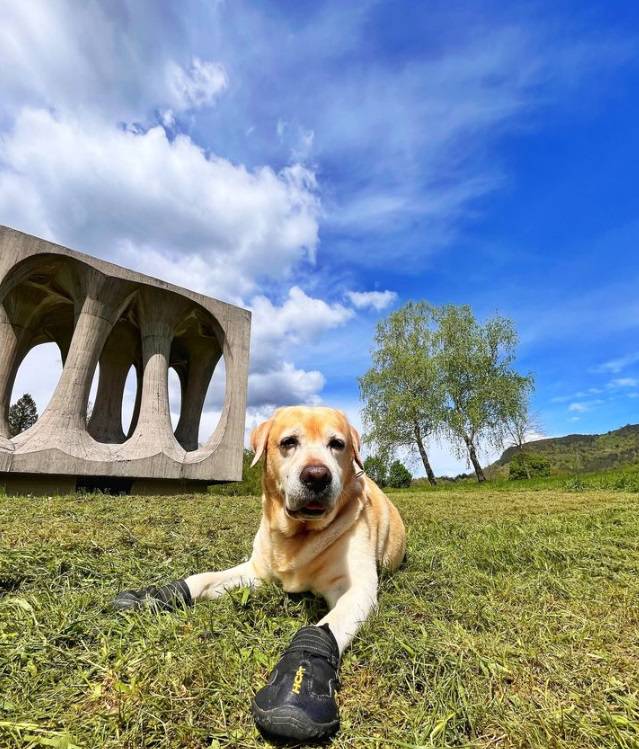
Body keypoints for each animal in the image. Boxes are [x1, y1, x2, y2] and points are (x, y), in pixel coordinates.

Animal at [114, 410, 404, 744]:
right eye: (289, 442)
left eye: (337, 444)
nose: (317, 476)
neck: (298, 536)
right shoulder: (256, 573)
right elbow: (203, 578)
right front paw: (154, 596)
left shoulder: (356, 589)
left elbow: (322, 629)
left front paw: (297, 691)